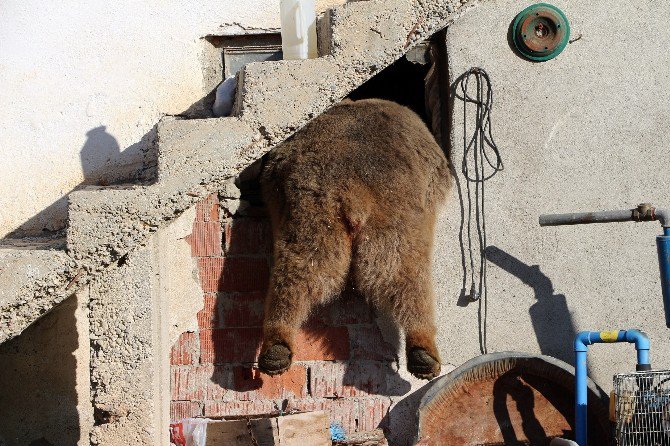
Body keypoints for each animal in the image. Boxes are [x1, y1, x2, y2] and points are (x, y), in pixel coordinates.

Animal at [258, 97, 452, 380]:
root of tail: (351, 188)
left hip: (311, 220)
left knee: (296, 274)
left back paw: (276, 347)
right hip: (397, 221)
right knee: (408, 277)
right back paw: (423, 347)